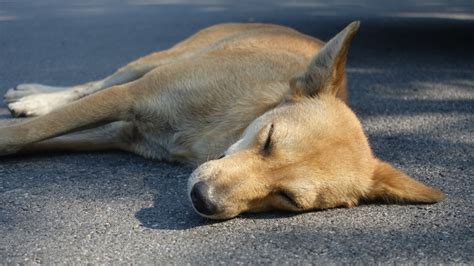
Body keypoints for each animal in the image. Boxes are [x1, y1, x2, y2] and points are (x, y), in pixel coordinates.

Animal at [0, 21, 444, 219]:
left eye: (288, 198)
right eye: (268, 139)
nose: (203, 200)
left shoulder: (121, 133)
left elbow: (41, 138)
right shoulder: (131, 97)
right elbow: (32, 131)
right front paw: (19, 123)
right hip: (150, 64)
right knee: (92, 84)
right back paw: (33, 96)